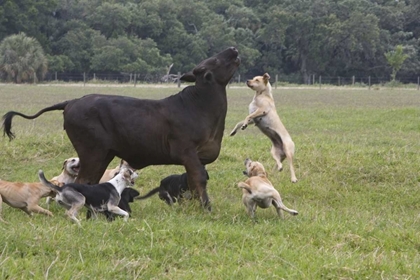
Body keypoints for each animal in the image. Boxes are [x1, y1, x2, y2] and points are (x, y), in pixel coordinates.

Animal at [2, 47, 240, 210]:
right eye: (216, 59)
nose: (233, 49)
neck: (200, 106)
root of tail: (73, 101)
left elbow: (192, 181)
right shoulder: (188, 152)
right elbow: (199, 179)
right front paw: (206, 208)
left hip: (102, 154)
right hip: (92, 153)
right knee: (83, 181)